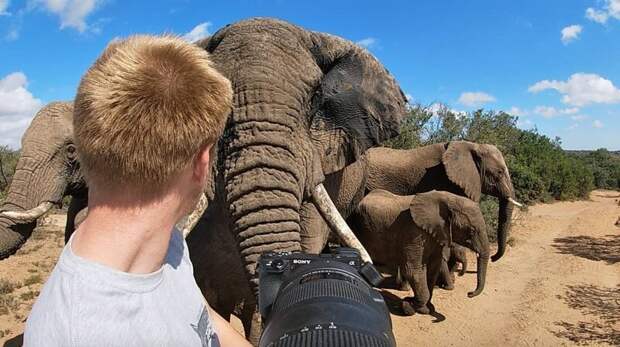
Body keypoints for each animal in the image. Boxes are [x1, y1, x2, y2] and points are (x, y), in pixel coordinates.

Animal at [354, 190, 490, 316]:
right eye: (472, 230)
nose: (469, 294)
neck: (449, 199)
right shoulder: (414, 232)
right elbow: (413, 270)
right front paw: (410, 306)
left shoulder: (437, 233)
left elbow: (433, 269)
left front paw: (425, 307)